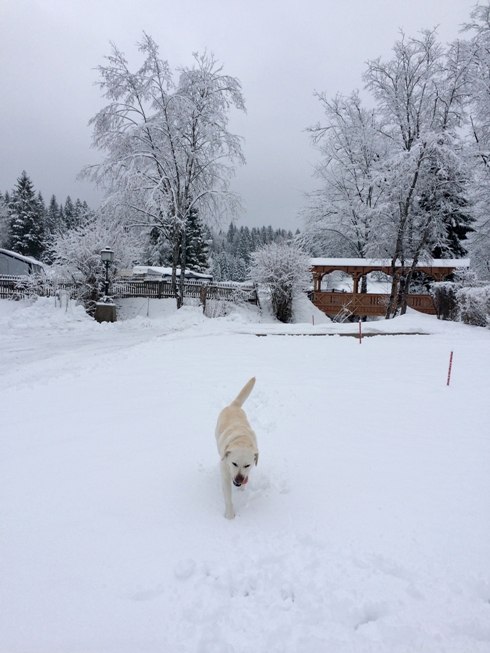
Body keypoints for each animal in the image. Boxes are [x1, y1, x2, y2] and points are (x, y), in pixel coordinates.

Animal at [215, 377, 259, 519]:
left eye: (247, 465)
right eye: (234, 463)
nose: (239, 480)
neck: (241, 438)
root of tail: (233, 406)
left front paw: (242, 490)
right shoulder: (225, 475)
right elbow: (228, 499)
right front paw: (229, 516)